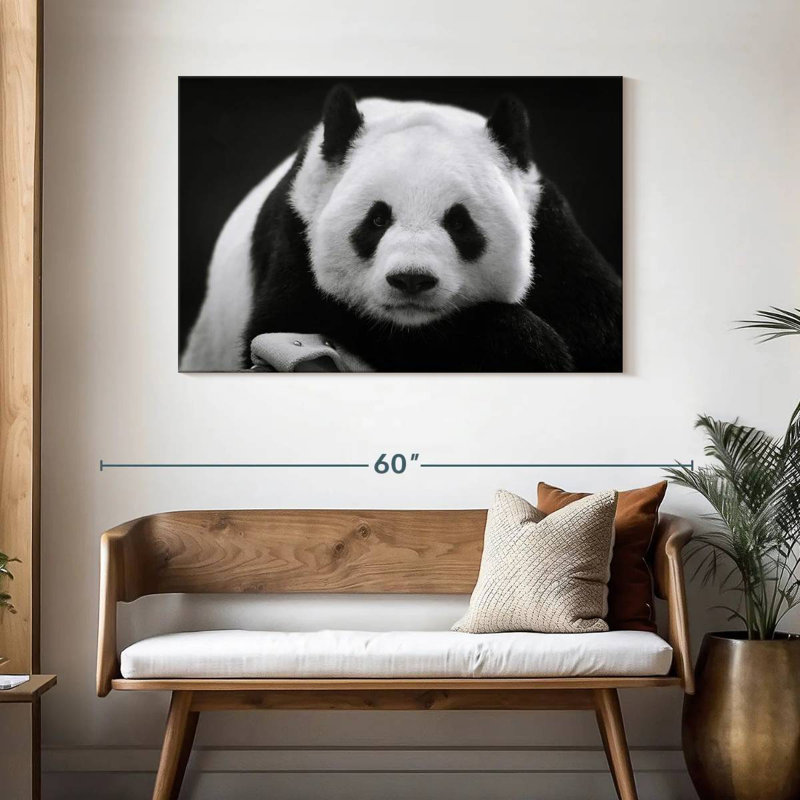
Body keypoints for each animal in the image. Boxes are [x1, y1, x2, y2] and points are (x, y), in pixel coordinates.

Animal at [181, 85, 621, 372]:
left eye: (459, 222)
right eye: (377, 219)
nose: (412, 280)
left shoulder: (551, 232)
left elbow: (602, 329)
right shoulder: (297, 231)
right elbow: (292, 319)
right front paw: (527, 347)